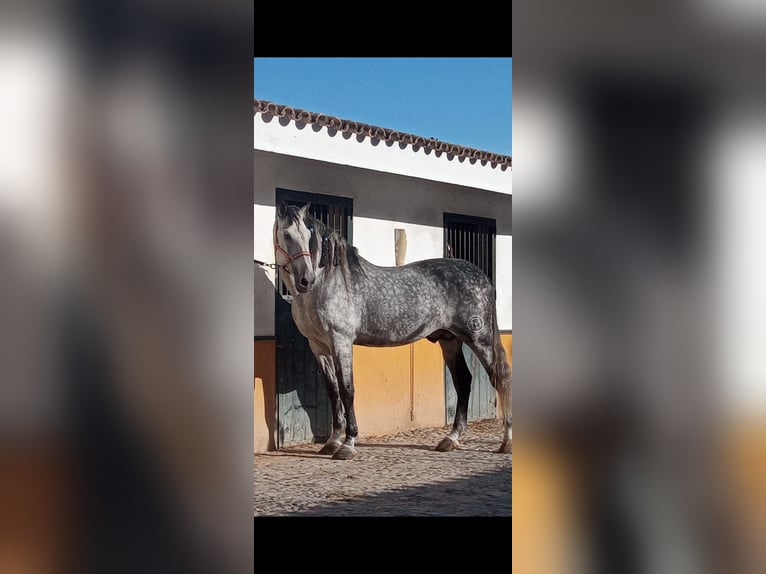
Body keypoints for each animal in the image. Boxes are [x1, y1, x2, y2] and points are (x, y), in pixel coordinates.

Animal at [272, 204, 512, 464]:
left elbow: (347, 389)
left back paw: (506, 442)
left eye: (309, 236)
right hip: (450, 341)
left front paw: (348, 444)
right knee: (463, 381)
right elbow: (333, 391)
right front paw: (332, 442)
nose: (306, 280)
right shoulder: (319, 346)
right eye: (286, 235)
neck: (327, 283)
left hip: (480, 338)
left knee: (501, 376)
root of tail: (481, 277)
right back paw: (451, 439)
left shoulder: (341, 341)